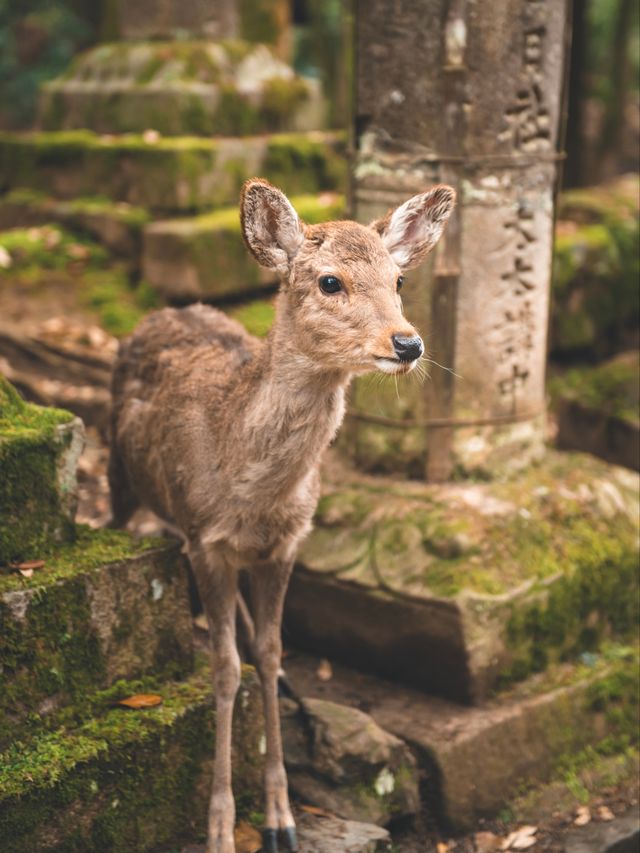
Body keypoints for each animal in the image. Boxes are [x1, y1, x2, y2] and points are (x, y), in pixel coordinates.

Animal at [110, 176, 458, 848]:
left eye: (399, 279)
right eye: (329, 281)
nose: (408, 342)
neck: (251, 491)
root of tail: (165, 309)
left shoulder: (287, 544)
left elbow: (271, 655)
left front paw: (282, 818)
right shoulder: (205, 541)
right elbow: (225, 671)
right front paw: (221, 827)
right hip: (115, 468)